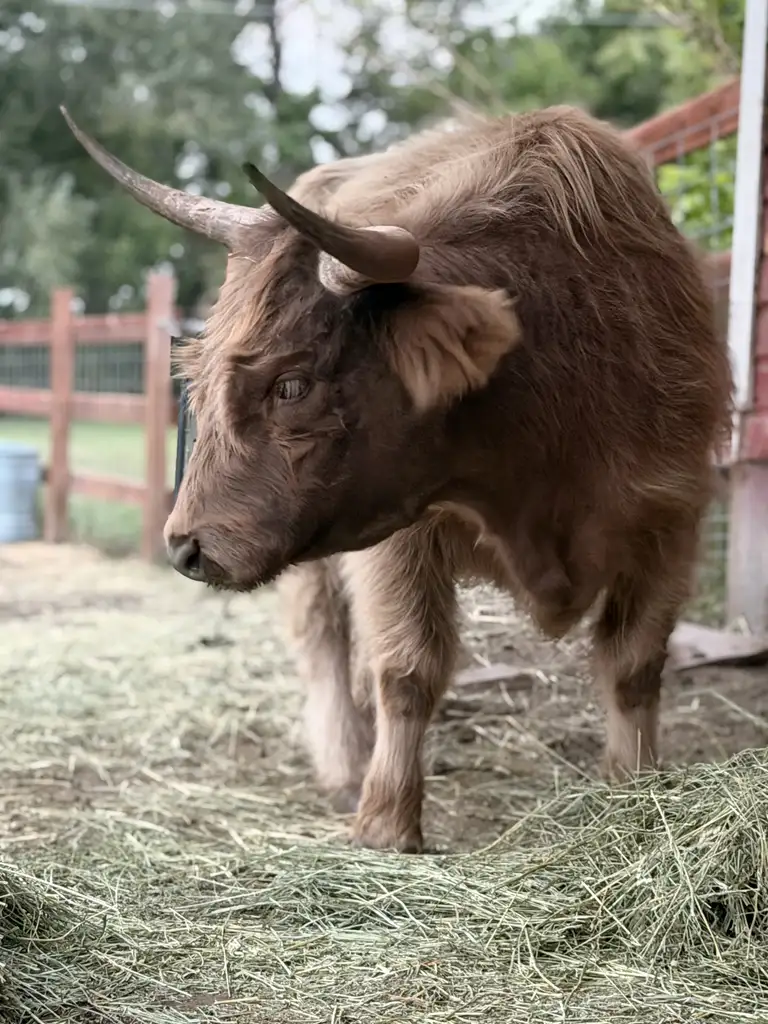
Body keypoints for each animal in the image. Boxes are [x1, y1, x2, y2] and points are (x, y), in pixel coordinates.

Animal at [62, 104, 732, 853]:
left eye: (291, 384)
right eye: (199, 380)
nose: (185, 546)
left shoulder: (671, 518)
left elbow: (634, 664)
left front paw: (634, 785)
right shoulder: (400, 544)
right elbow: (409, 668)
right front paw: (385, 821)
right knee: (324, 637)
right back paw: (345, 760)